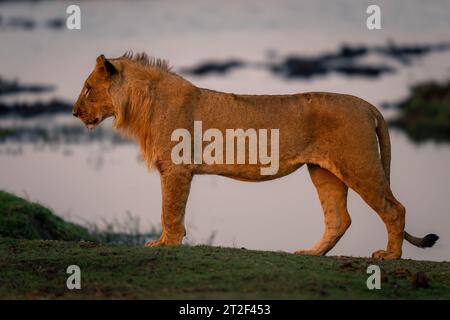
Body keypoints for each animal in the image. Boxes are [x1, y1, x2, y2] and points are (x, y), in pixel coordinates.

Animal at [72, 51, 438, 258]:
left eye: (88, 88)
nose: (74, 113)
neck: (140, 105)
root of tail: (367, 105)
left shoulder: (176, 169)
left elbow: (169, 210)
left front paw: (167, 245)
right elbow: (168, 209)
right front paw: (165, 243)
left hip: (359, 165)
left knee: (394, 209)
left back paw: (390, 256)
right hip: (323, 171)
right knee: (339, 218)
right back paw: (311, 253)